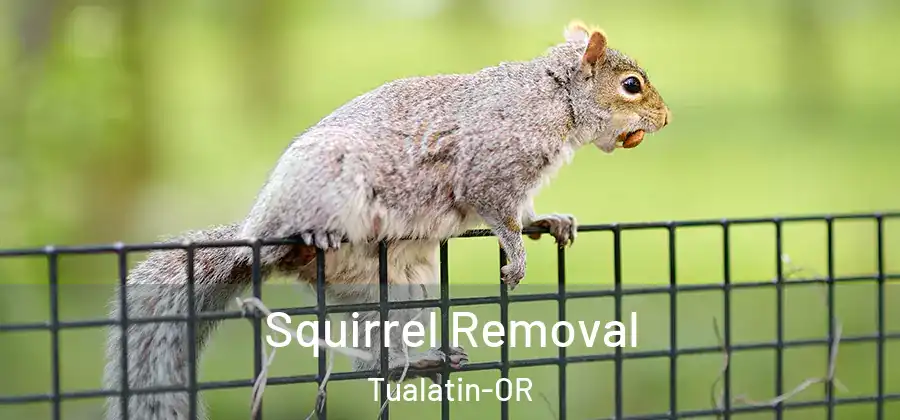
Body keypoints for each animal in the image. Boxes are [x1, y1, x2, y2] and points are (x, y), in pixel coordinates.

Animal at [102, 20, 670, 420]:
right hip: (324, 187)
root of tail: (253, 237)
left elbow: (525, 211)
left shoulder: (520, 183)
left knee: (372, 360)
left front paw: (549, 222)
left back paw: (415, 361)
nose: (665, 119)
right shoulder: (489, 168)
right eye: (631, 85)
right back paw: (310, 237)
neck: (554, 98)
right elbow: (497, 213)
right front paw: (516, 255)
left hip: (398, 290)